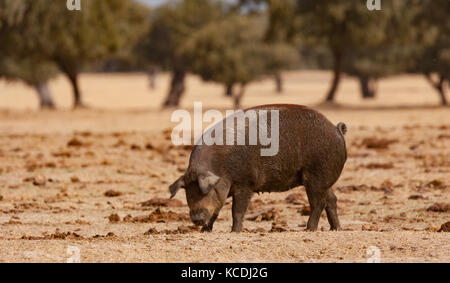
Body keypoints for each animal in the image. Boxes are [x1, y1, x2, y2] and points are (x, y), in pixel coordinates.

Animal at [169, 104, 348, 233]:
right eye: (188, 193)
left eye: (206, 191)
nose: (196, 218)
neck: (221, 167)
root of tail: (336, 129)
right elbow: (217, 211)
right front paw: (205, 231)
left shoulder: (245, 183)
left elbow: (237, 210)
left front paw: (235, 232)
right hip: (324, 180)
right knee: (332, 199)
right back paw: (335, 228)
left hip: (317, 176)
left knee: (318, 202)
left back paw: (309, 229)